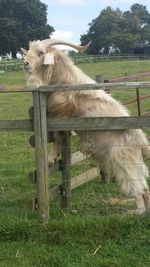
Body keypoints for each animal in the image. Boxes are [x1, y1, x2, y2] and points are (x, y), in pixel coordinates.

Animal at [21, 38, 150, 216]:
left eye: (41, 53)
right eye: (29, 50)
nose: (25, 63)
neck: (63, 80)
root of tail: (141, 143)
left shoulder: (63, 116)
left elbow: (58, 137)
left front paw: (50, 158)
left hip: (123, 159)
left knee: (138, 188)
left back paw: (135, 213)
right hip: (133, 160)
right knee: (145, 188)